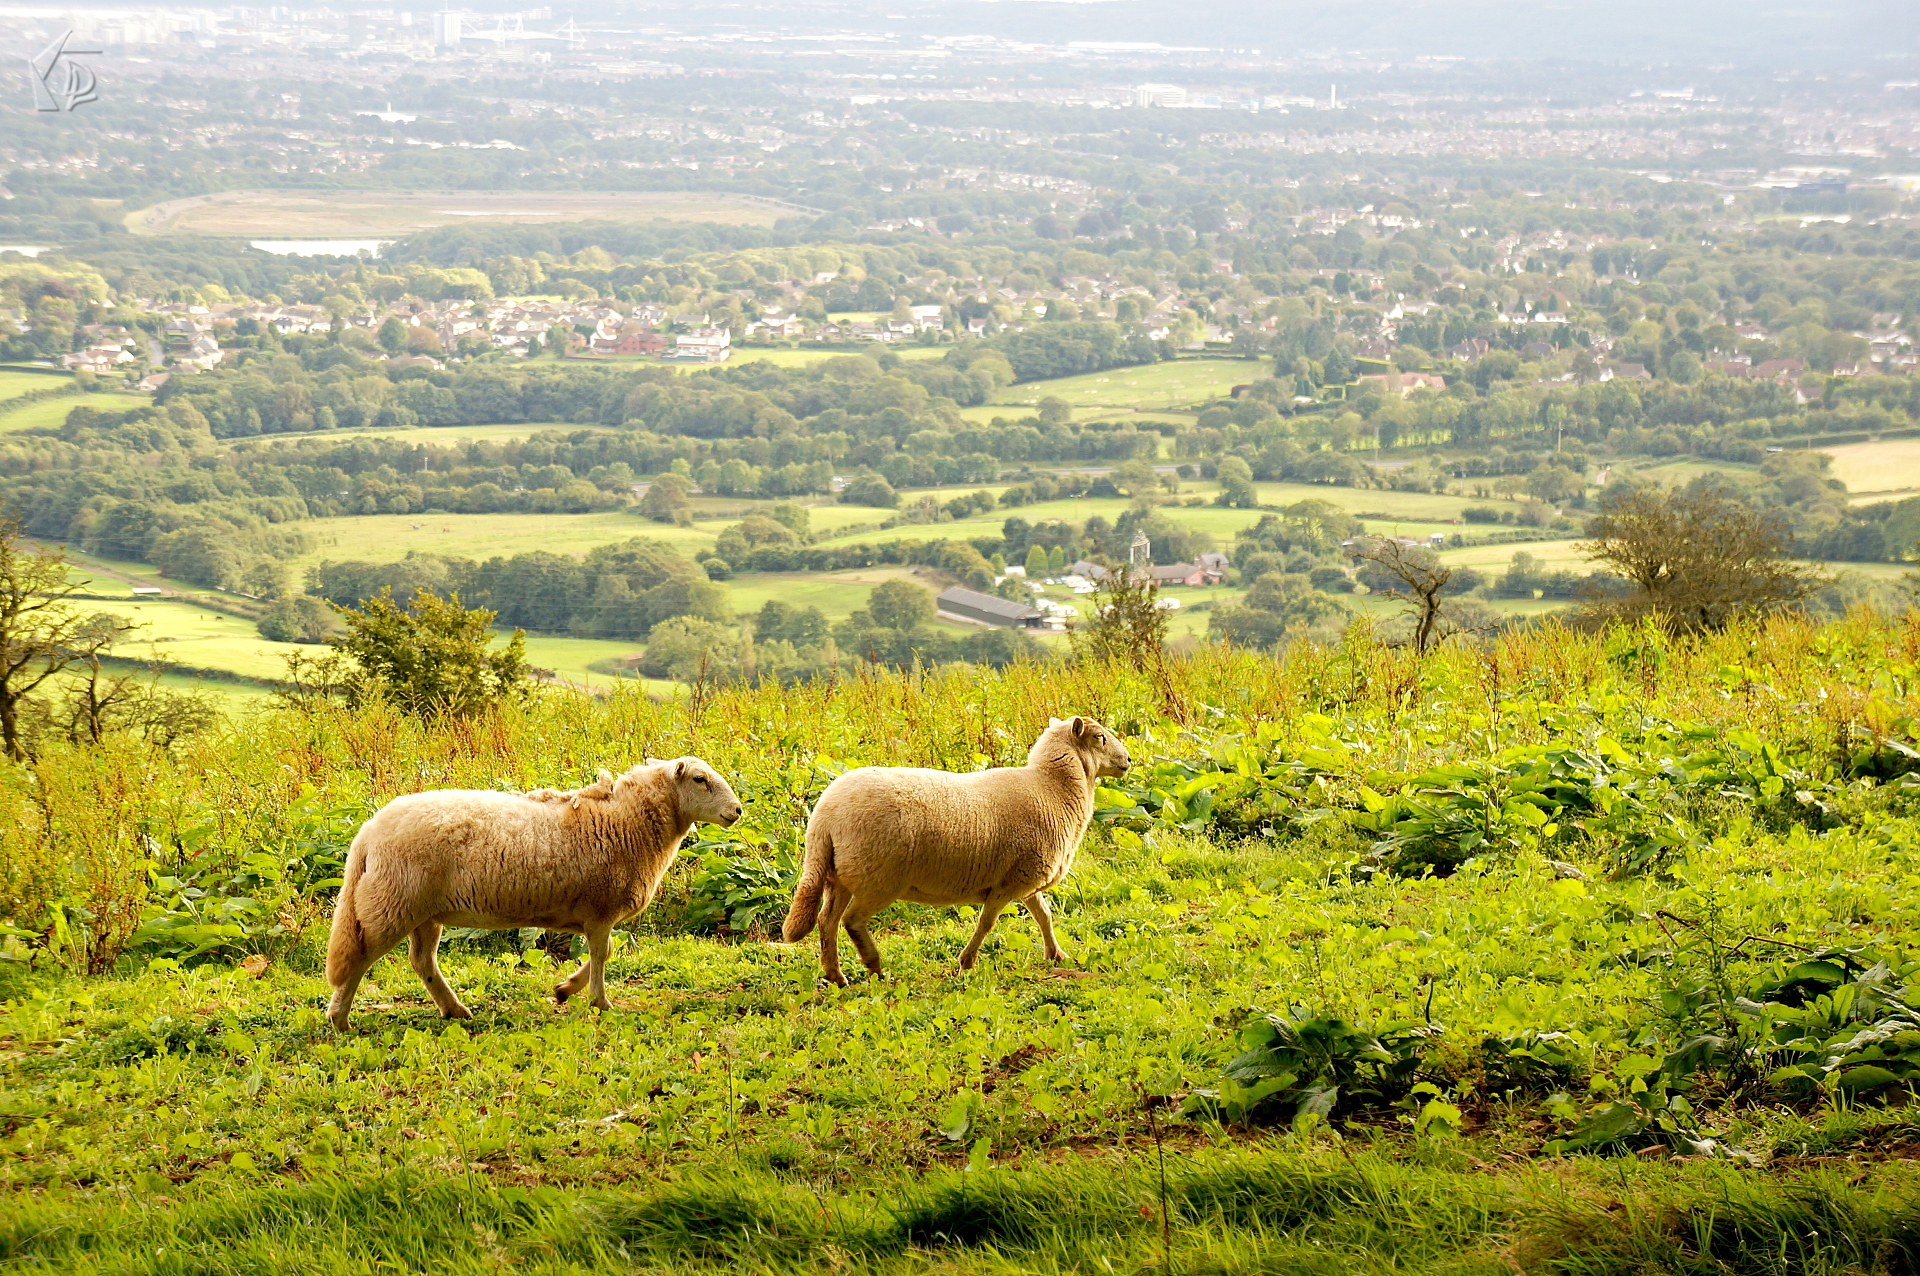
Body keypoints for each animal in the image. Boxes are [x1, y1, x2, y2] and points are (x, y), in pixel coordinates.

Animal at [325, 757, 742, 1030]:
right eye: (700, 779)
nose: (737, 811)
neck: (627, 821)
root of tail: (368, 832)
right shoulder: (601, 910)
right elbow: (601, 954)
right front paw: (599, 1002)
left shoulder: (596, 915)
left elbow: (605, 952)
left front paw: (565, 990)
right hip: (391, 902)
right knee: (360, 956)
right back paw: (340, 1018)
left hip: (423, 912)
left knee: (422, 961)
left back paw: (454, 1010)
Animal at [782, 716, 1131, 985]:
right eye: (1100, 738)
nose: (1128, 761)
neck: (1052, 789)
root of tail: (824, 817)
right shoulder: (1007, 884)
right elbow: (987, 923)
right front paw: (966, 962)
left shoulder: (1023, 878)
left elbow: (1043, 915)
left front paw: (1056, 954)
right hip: (877, 878)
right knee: (852, 921)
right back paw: (875, 967)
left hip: (840, 875)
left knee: (827, 921)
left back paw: (836, 976)